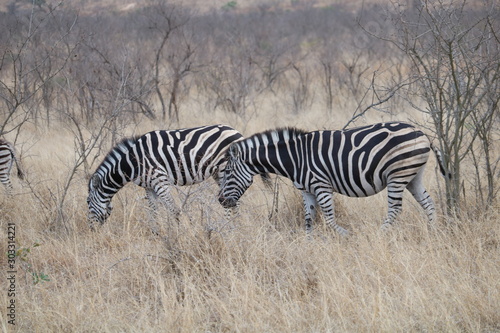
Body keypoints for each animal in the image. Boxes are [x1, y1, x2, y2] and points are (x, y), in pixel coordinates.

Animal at [88, 124, 248, 228]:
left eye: (88, 202)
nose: (91, 229)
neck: (133, 162)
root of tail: (236, 131)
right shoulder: (149, 187)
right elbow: (153, 212)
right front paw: (156, 234)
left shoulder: (160, 181)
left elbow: (173, 210)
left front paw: (177, 234)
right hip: (218, 173)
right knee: (233, 201)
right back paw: (236, 225)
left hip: (224, 170)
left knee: (231, 201)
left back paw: (228, 227)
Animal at [219, 120, 450, 235]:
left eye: (227, 173)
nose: (220, 201)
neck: (294, 158)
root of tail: (421, 132)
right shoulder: (306, 191)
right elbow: (309, 221)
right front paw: (309, 247)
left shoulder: (321, 186)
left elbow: (329, 220)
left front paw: (348, 237)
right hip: (413, 175)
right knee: (428, 204)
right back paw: (433, 234)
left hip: (398, 175)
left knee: (395, 209)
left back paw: (379, 235)